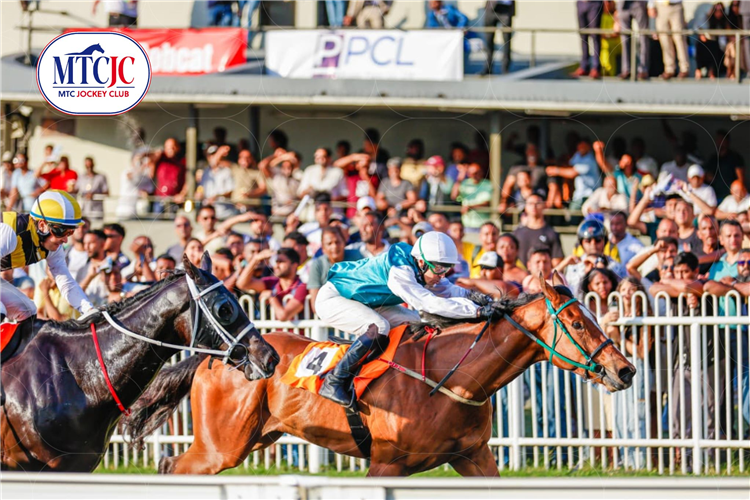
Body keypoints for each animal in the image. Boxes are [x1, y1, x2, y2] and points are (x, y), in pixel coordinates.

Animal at [127, 274, 635, 477]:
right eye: (576, 323)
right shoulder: (386, 464)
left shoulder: (473, 456)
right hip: (221, 446)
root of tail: (216, 356)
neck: (451, 381)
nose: (625, 369)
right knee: (173, 467)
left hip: (254, 437)